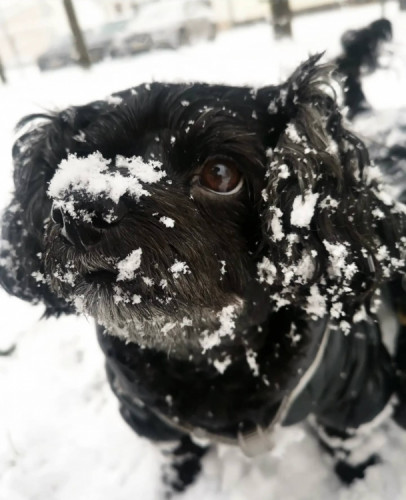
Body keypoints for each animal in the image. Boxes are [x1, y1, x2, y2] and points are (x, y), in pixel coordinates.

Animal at [0, 53, 406, 488]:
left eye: (221, 174)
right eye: (84, 159)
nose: (79, 215)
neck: (210, 352)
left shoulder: (354, 392)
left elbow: (351, 444)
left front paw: (361, 480)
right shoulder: (145, 413)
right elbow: (177, 451)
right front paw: (177, 484)